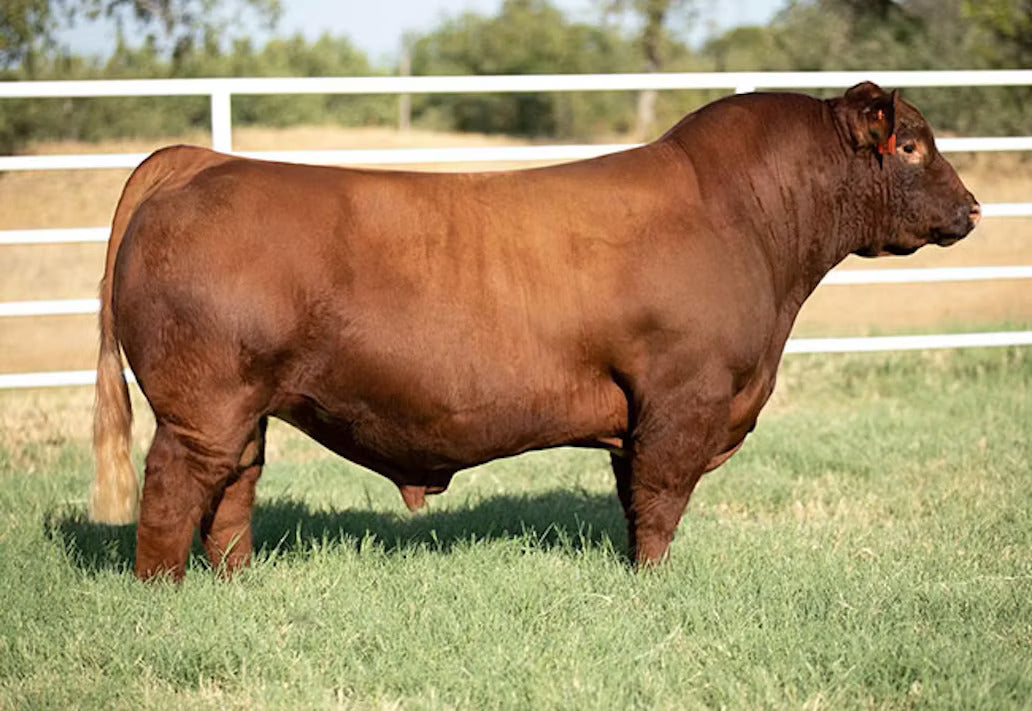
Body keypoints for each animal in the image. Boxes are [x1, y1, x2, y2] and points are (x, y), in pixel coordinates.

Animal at [89, 82, 980, 581]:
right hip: (201, 405)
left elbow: (632, 501)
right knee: (170, 493)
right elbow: (660, 503)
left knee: (233, 492)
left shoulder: (643, 414)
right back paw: (163, 595)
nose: (972, 207)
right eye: (910, 145)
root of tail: (202, 162)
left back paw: (238, 584)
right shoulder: (683, 400)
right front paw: (653, 587)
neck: (749, 225)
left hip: (243, 407)